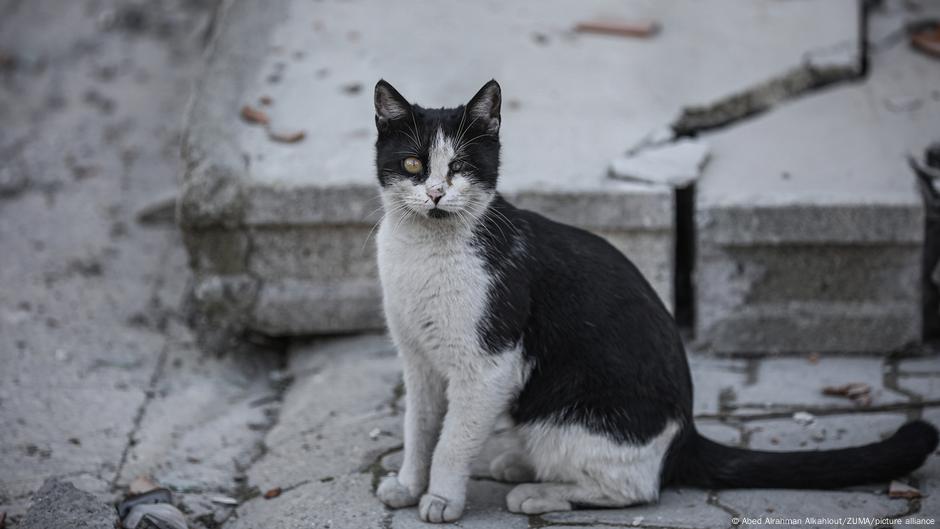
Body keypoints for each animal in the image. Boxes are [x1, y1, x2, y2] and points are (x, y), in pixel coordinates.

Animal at [370, 79, 936, 524]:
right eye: (414, 163)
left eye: (461, 166)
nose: (436, 193)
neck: (423, 251)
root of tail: (685, 434)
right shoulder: (417, 360)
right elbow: (420, 428)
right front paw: (409, 484)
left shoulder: (488, 367)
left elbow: (452, 440)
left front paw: (441, 498)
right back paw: (515, 463)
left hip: (566, 416)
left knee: (635, 488)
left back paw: (539, 491)